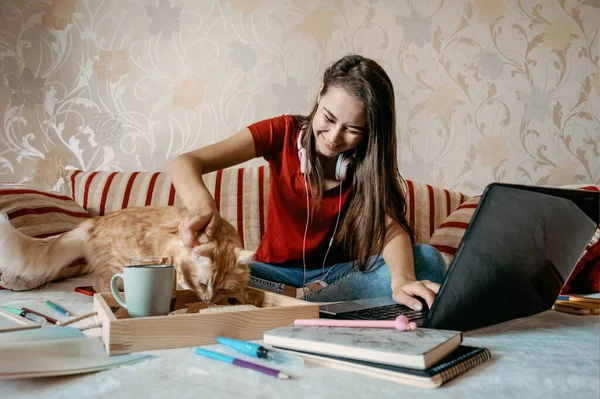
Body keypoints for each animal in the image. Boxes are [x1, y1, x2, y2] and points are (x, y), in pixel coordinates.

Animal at [0, 206, 252, 304]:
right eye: (203, 283)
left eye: (220, 289)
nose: (209, 300)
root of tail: (94, 222)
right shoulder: (171, 258)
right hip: (118, 265)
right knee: (99, 283)